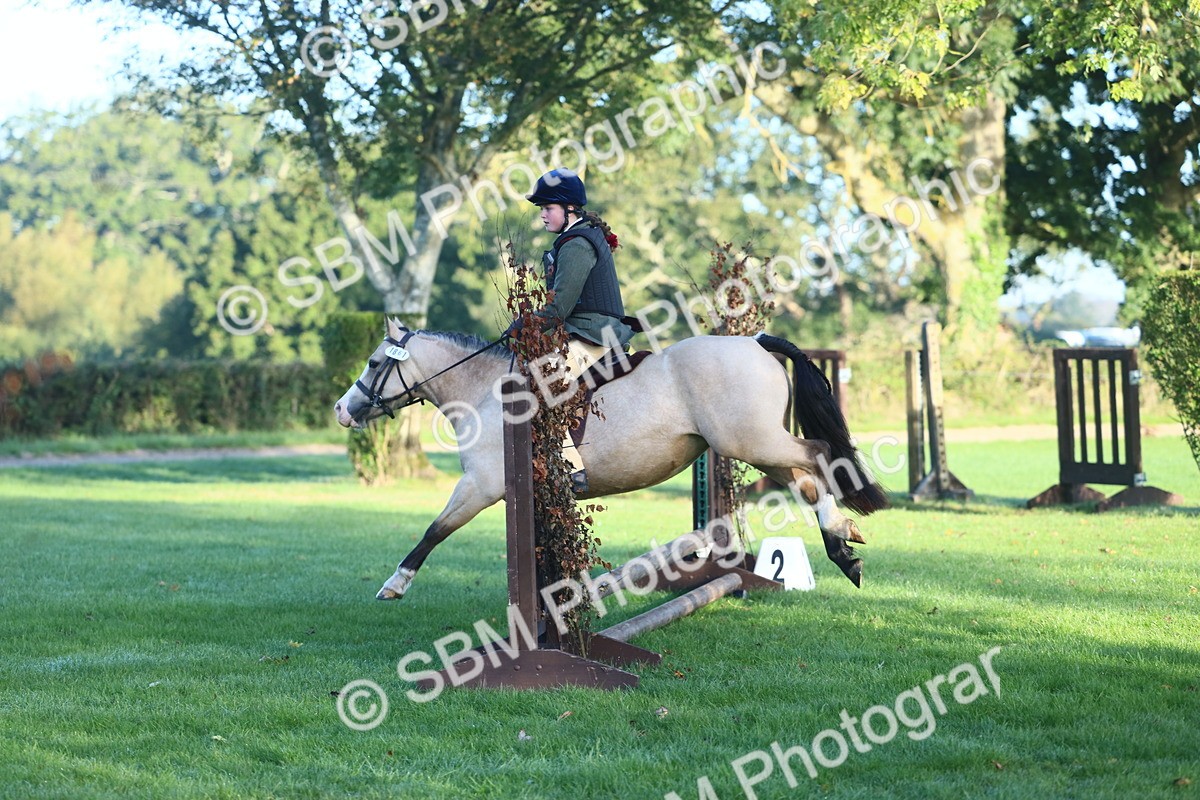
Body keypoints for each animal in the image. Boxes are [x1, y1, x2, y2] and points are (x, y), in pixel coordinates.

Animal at [334, 318, 890, 601]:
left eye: (375, 362)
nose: (342, 409)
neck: (483, 390)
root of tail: (753, 342)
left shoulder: (482, 486)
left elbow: (434, 530)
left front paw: (394, 584)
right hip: (753, 445)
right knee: (808, 480)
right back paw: (844, 545)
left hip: (750, 442)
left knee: (819, 456)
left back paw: (842, 542)